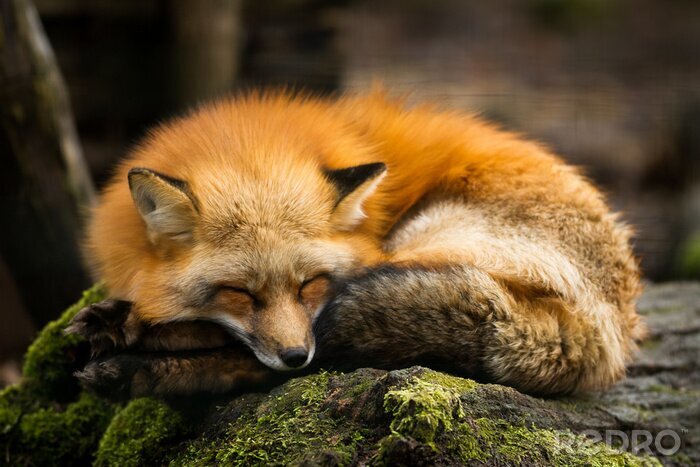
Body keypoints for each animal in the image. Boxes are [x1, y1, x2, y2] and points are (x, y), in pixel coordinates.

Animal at [66, 90, 645, 398]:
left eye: (310, 284)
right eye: (239, 293)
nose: (294, 355)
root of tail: (612, 331)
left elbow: (232, 341)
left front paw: (133, 328)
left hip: (421, 245)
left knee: (294, 359)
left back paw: (136, 364)